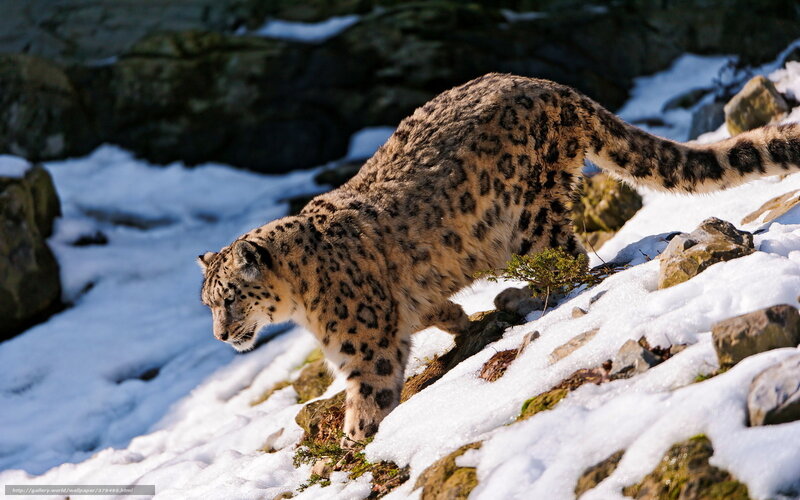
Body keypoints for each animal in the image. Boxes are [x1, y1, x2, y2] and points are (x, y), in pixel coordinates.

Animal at [198, 73, 800, 445]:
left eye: (231, 298)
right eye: (208, 304)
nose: (221, 336)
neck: (302, 302)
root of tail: (551, 86)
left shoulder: (364, 345)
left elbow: (370, 390)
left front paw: (356, 438)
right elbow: (430, 308)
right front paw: (456, 319)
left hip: (530, 215)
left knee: (570, 261)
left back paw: (517, 294)